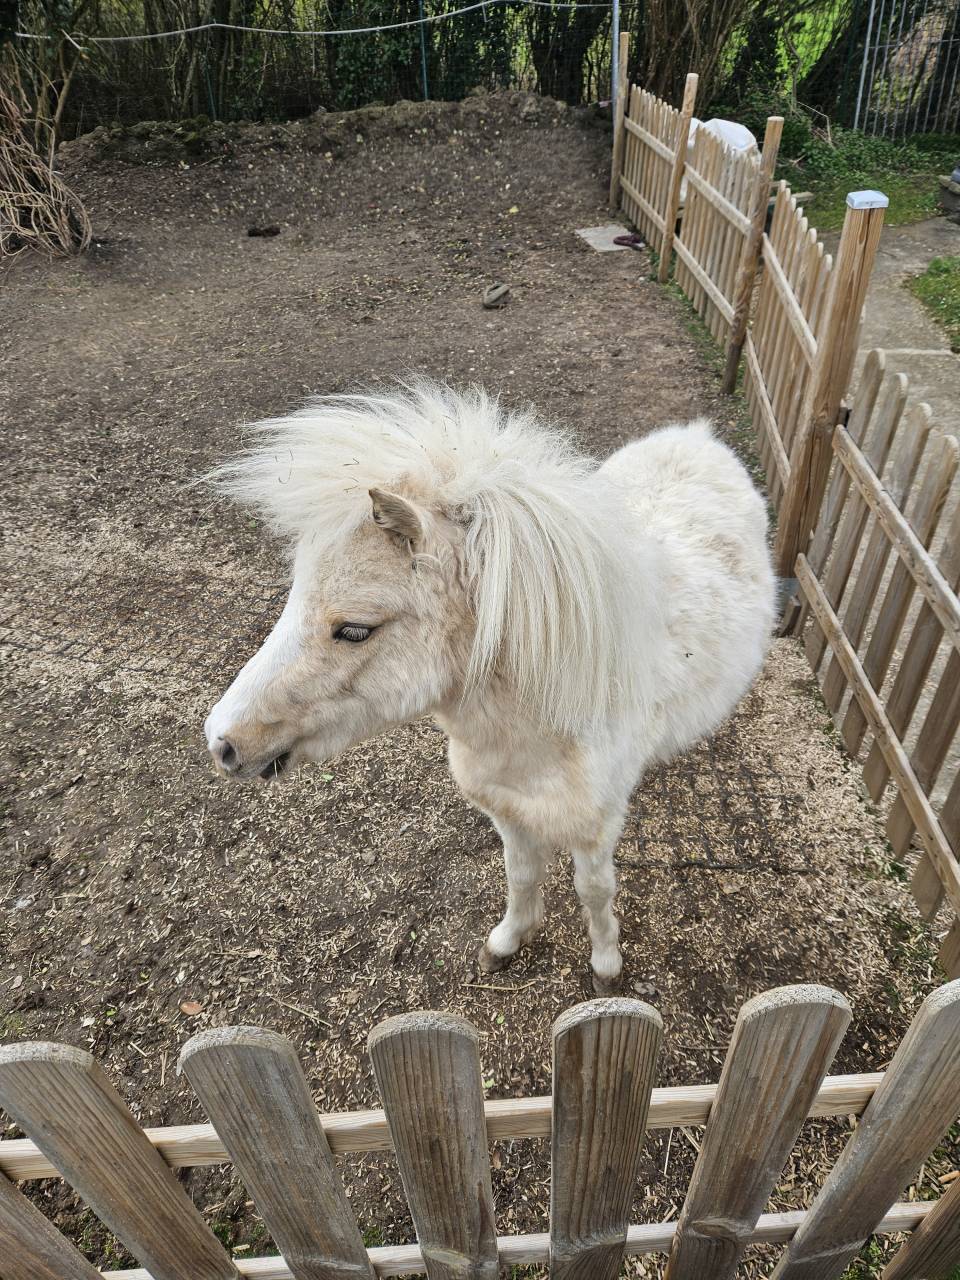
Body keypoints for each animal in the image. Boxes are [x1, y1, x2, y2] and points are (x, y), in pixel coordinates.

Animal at [203, 383, 775, 991]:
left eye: (355, 630)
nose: (222, 742)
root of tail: (698, 435)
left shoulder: (595, 830)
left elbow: (595, 891)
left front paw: (605, 965)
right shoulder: (508, 812)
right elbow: (520, 875)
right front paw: (506, 942)